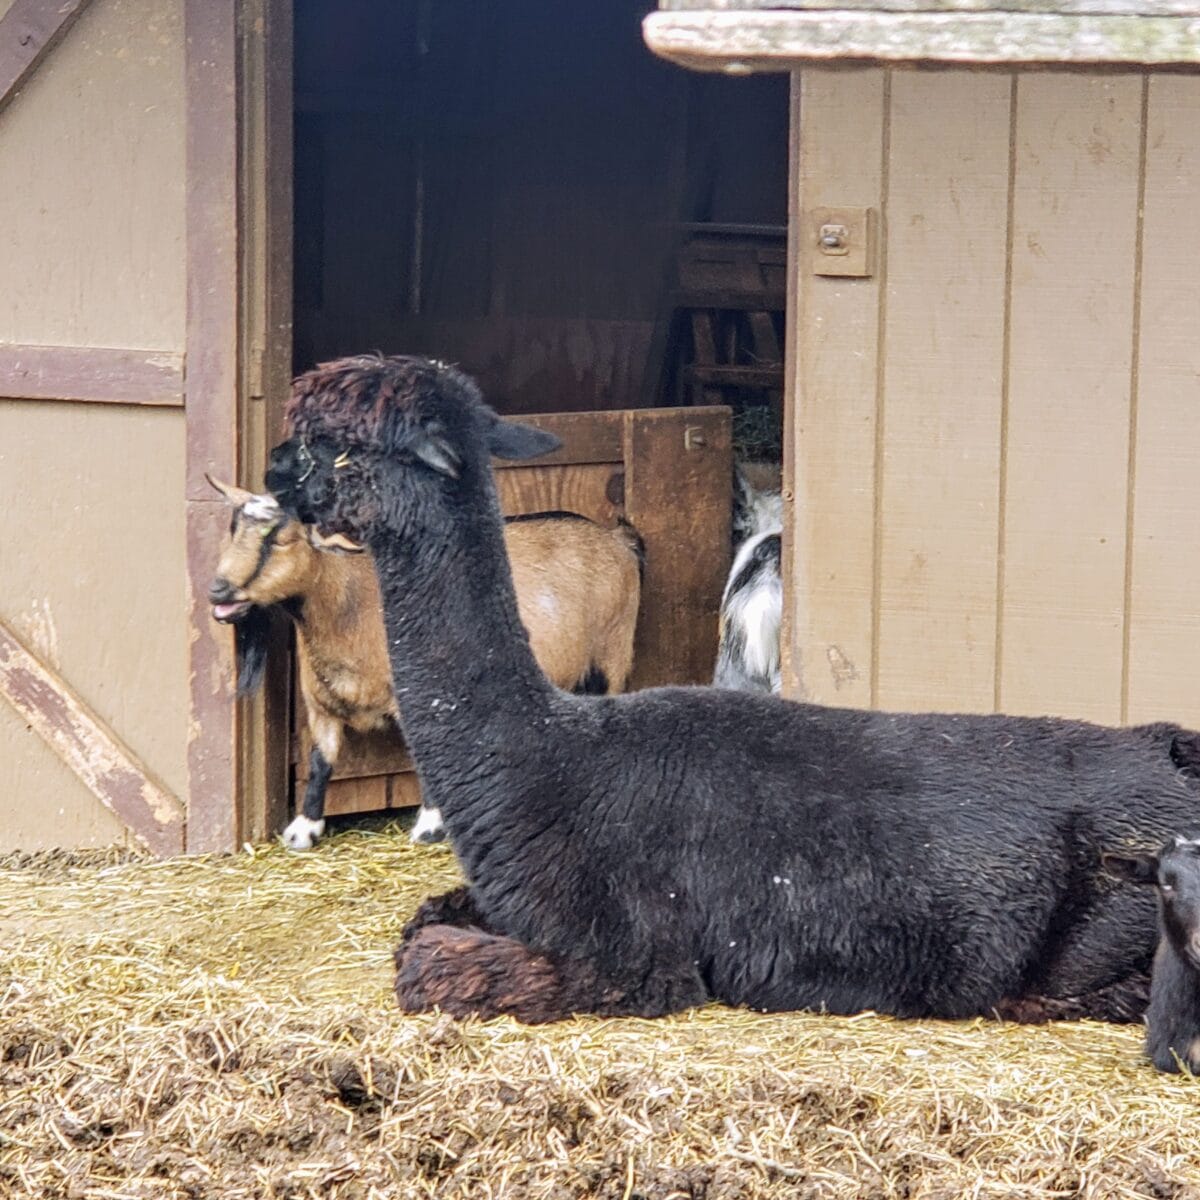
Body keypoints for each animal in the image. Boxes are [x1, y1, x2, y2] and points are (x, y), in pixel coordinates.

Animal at [207, 477, 642, 850]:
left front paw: (431, 827)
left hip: (612, 652)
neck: (353, 604)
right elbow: (319, 761)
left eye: (282, 539)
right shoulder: (321, 705)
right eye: (233, 529)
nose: (218, 590)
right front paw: (304, 829)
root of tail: (616, 539)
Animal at [265, 352, 1200, 1026]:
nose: (271, 480)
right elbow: (424, 920)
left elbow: (429, 963)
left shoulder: (631, 958)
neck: (546, 764)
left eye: (331, 441)